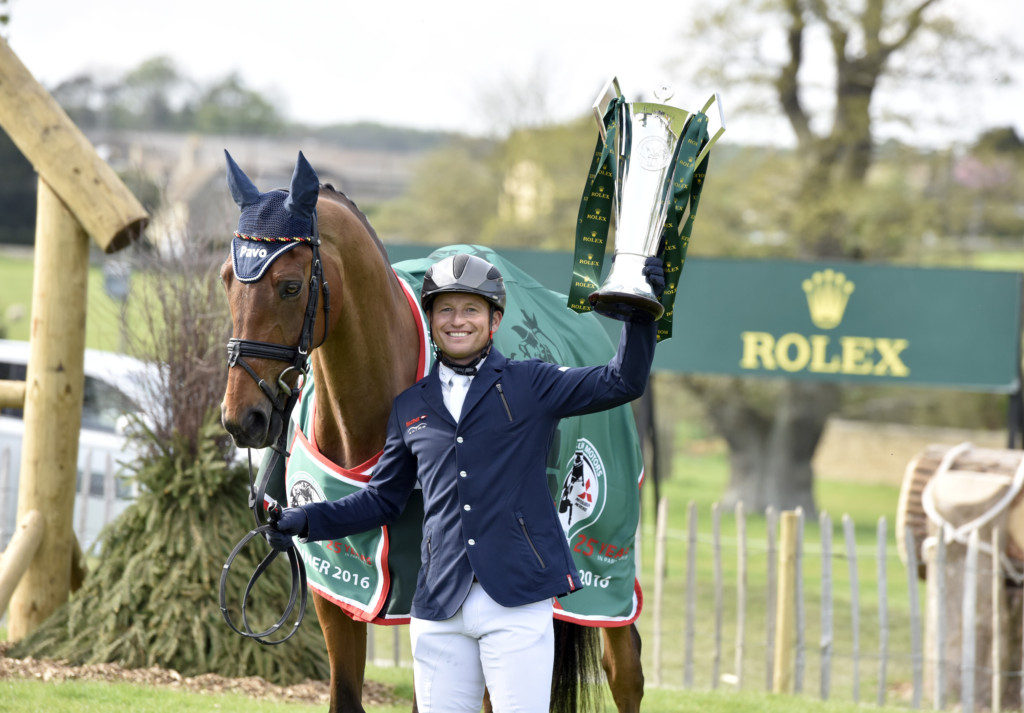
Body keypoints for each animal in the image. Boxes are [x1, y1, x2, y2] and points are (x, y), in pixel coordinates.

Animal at [221, 153, 643, 708]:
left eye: (290, 286)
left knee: (624, 668)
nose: (241, 417)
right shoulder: (335, 592)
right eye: (226, 279)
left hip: (607, 571)